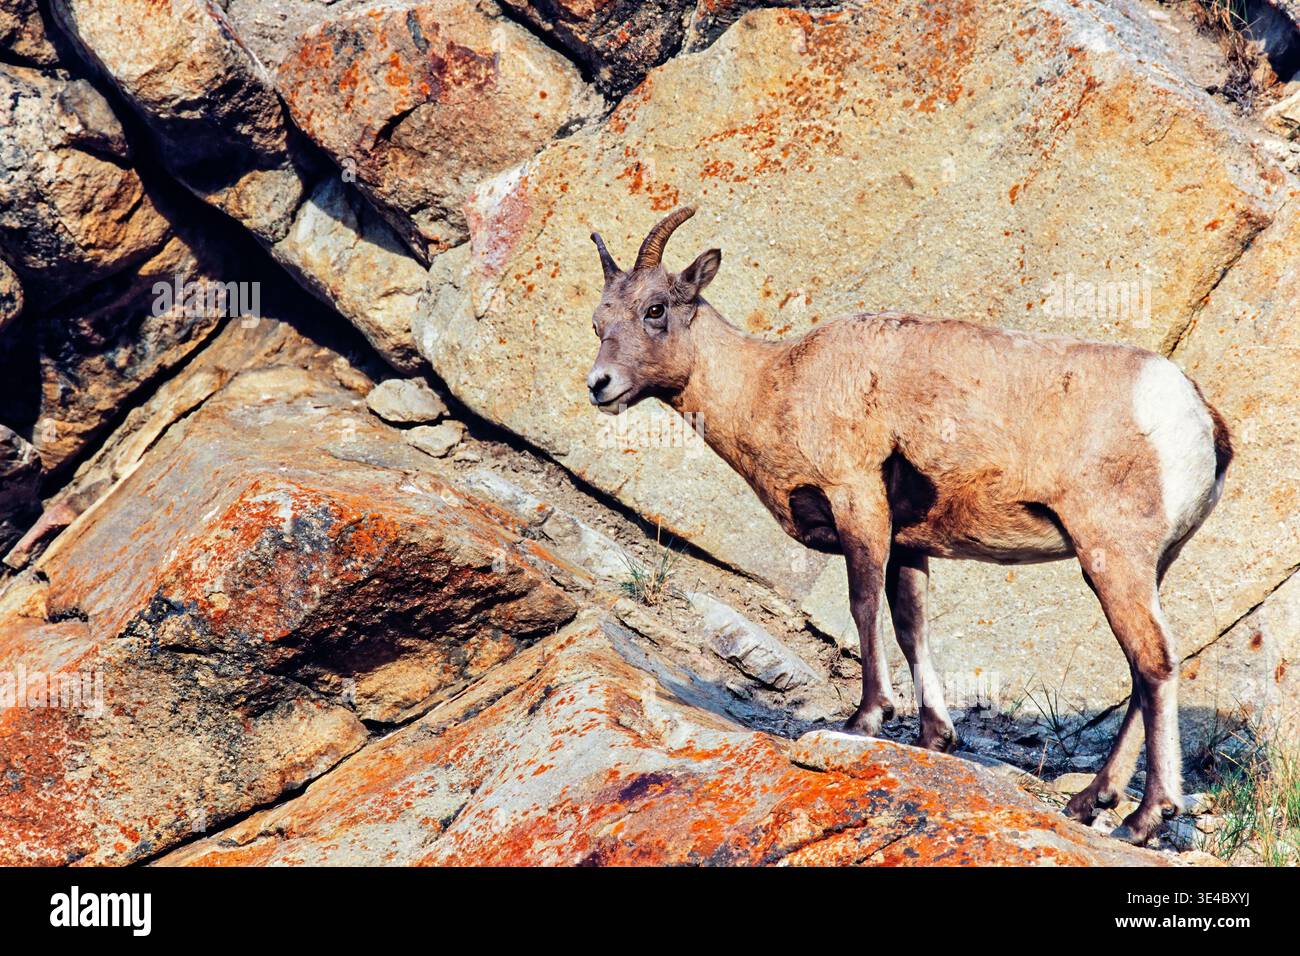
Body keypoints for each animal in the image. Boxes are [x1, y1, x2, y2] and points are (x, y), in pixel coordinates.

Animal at [584, 206, 1233, 846]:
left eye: (656, 308)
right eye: (599, 321)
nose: (600, 386)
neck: (773, 384)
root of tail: (1196, 414)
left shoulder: (859, 504)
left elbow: (864, 604)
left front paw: (866, 718)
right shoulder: (909, 547)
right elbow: (910, 626)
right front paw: (934, 738)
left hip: (1112, 556)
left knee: (1153, 661)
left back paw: (1145, 819)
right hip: (1142, 568)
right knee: (1142, 669)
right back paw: (1088, 802)